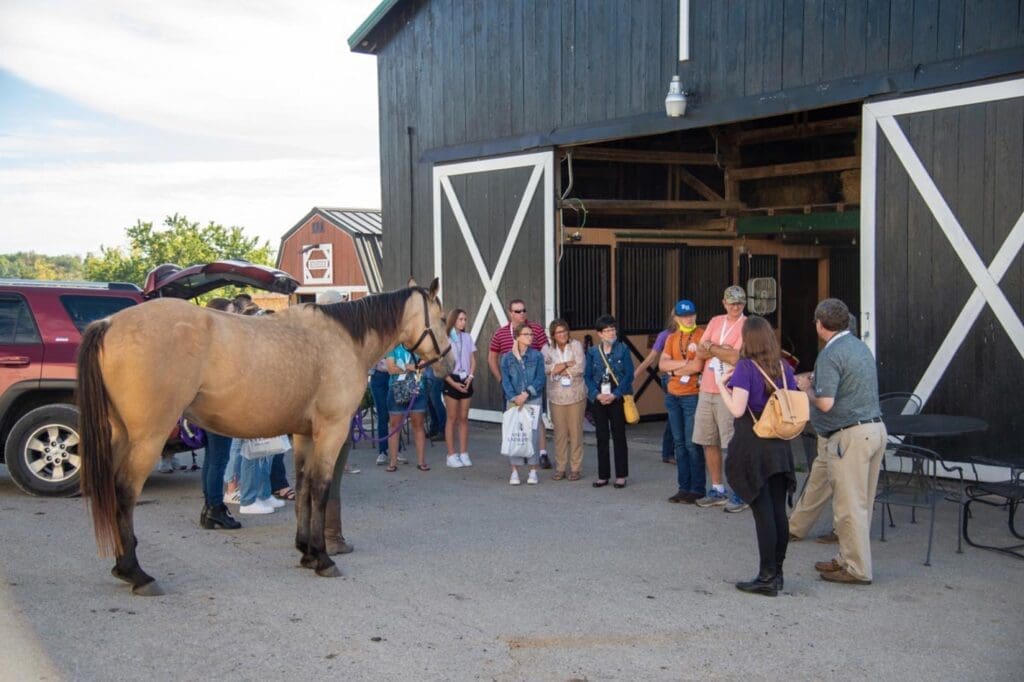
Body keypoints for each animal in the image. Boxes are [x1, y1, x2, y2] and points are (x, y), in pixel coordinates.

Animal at [77, 276, 446, 589]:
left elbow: (304, 486)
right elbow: (321, 489)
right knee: (125, 493)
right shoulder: (331, 431)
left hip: (121, 436)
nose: (446, 361)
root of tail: (109, 323)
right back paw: (135, 573)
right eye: (442, 319)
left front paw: (306, 550)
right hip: (146, 439)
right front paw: (322, 557)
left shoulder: (304, 435)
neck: (342, 339)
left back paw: (123, 565)